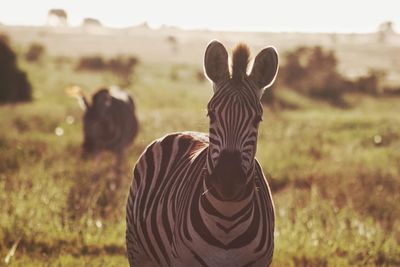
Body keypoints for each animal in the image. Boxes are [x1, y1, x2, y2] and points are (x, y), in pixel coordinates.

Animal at [126, 40, 278, 267]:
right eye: (211, 114)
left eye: (257, 119)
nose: (228, 180)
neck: (227, 219)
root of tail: (184, 132)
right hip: (137, 249)